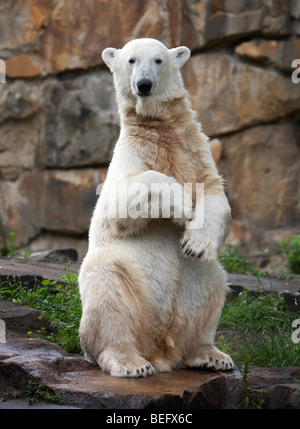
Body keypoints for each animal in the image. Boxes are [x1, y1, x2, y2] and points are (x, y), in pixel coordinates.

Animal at [78, 38, 233, 376]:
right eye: (131, 60)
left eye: (159, 60)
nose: (144, 84)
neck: (162, 132)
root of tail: (161, 349)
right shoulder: (130, 156)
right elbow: (118, 199)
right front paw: (182, 204)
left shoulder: (196, 152)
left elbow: (215, 195)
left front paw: (194, 242)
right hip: (126, 285)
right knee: (107, 292)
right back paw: (129, 362)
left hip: (193, 293)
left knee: (214, 284)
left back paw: (210, 356)